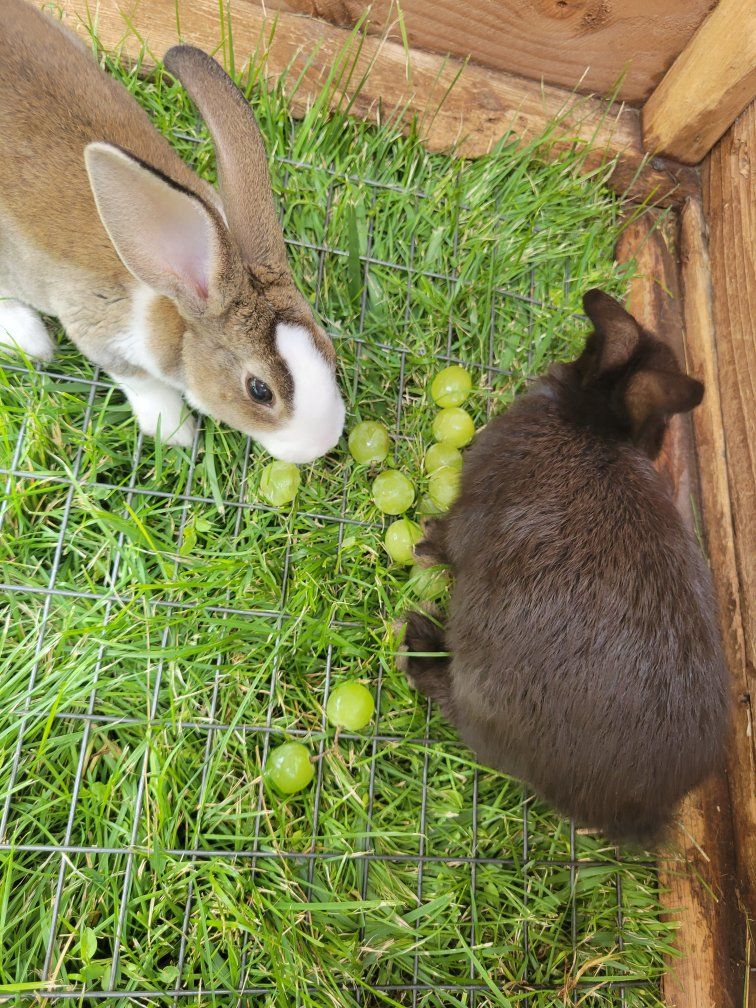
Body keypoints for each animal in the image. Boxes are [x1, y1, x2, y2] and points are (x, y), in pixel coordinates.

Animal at [0, 0, 344, 461]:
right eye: (259, 391)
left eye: (327, 345)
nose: (325, 442)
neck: (178, 294)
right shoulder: (99, 334)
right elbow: (142, 383)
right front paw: (176, 431)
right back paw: (31, 339)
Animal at [399, 289, 730, 845]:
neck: (590, 422)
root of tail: (634, 808)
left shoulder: (470, 511)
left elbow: (447, 541)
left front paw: (423, 540)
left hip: (482, 690)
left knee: (454, 706)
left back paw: (419, 642)